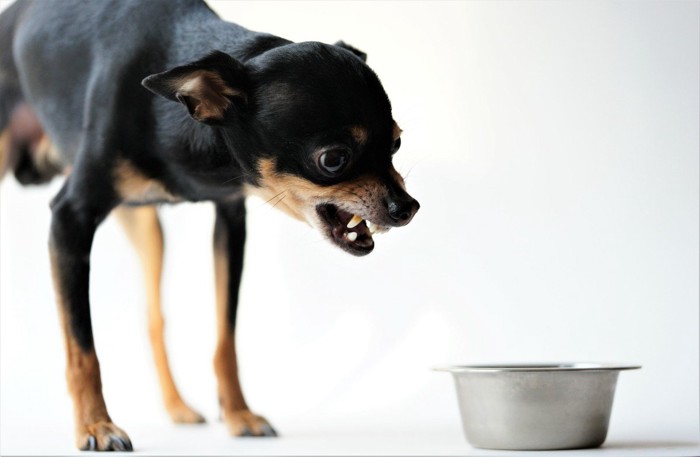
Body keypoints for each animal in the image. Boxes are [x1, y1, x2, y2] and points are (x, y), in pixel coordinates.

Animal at [0, 0, 418, 448]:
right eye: (333, 159)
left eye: (396, 143)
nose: (408, 207)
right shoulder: (70, 219)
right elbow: (81, 346)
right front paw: (95, 426)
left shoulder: (231, 220)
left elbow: (225, 337)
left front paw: (238, 414)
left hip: (146, 227)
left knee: (153, 317)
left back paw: (178, 406)